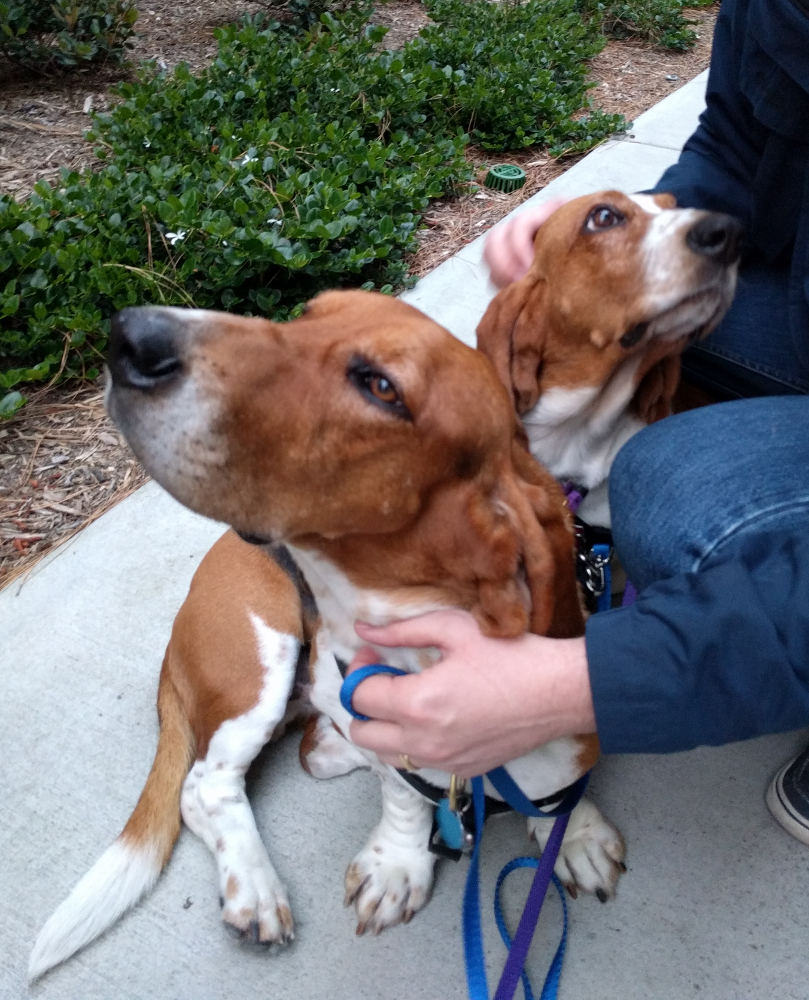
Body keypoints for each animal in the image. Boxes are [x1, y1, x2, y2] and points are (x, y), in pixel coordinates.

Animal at [29, 290, 625, 981]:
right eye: (308, 314)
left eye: (382, 387)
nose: (128, 335)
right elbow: (401, 794)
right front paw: (400, 862)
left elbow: (560, 794)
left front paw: (571, 837)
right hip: (262, 664)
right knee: (206, 786)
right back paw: (256, 889)